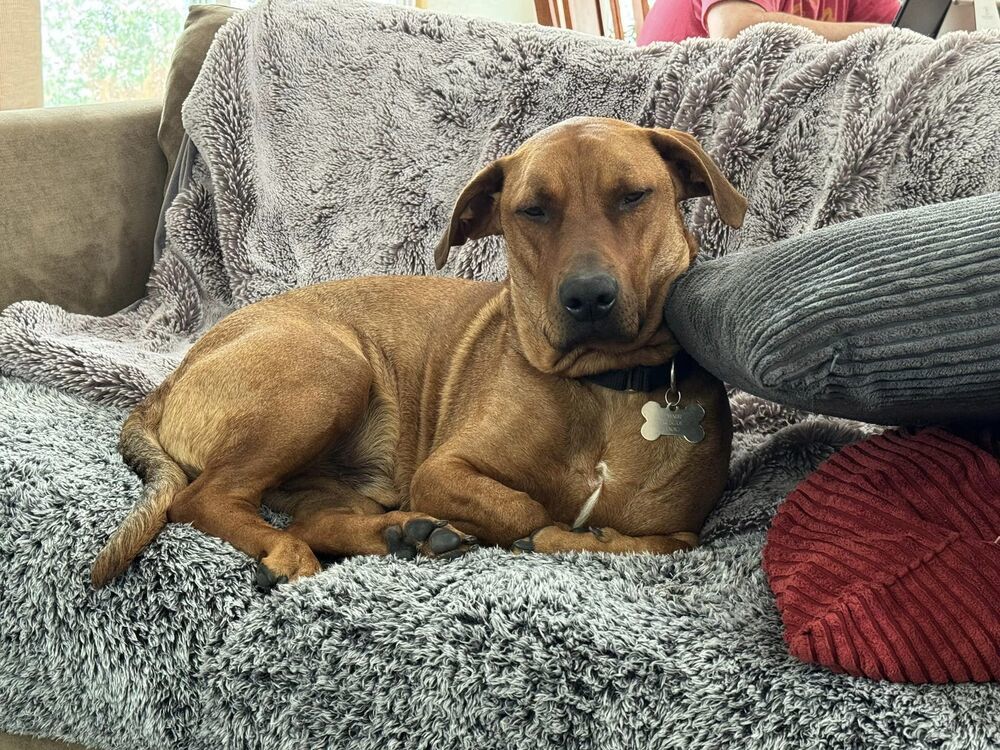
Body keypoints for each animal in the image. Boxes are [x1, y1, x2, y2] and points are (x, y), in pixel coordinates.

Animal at [92, 117, 744, 592]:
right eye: (532, 210)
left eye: (634, 196)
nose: (587, 297)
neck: (603, 385)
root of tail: (170, 380)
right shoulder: (444, 470)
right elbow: (530, 513)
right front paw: (563, 534)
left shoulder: (682, 529)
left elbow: (659, 540)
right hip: (331, 373)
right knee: (204, 499)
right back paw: (307, 547)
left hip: (333, 467)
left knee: (311, 515)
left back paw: (400, 532)